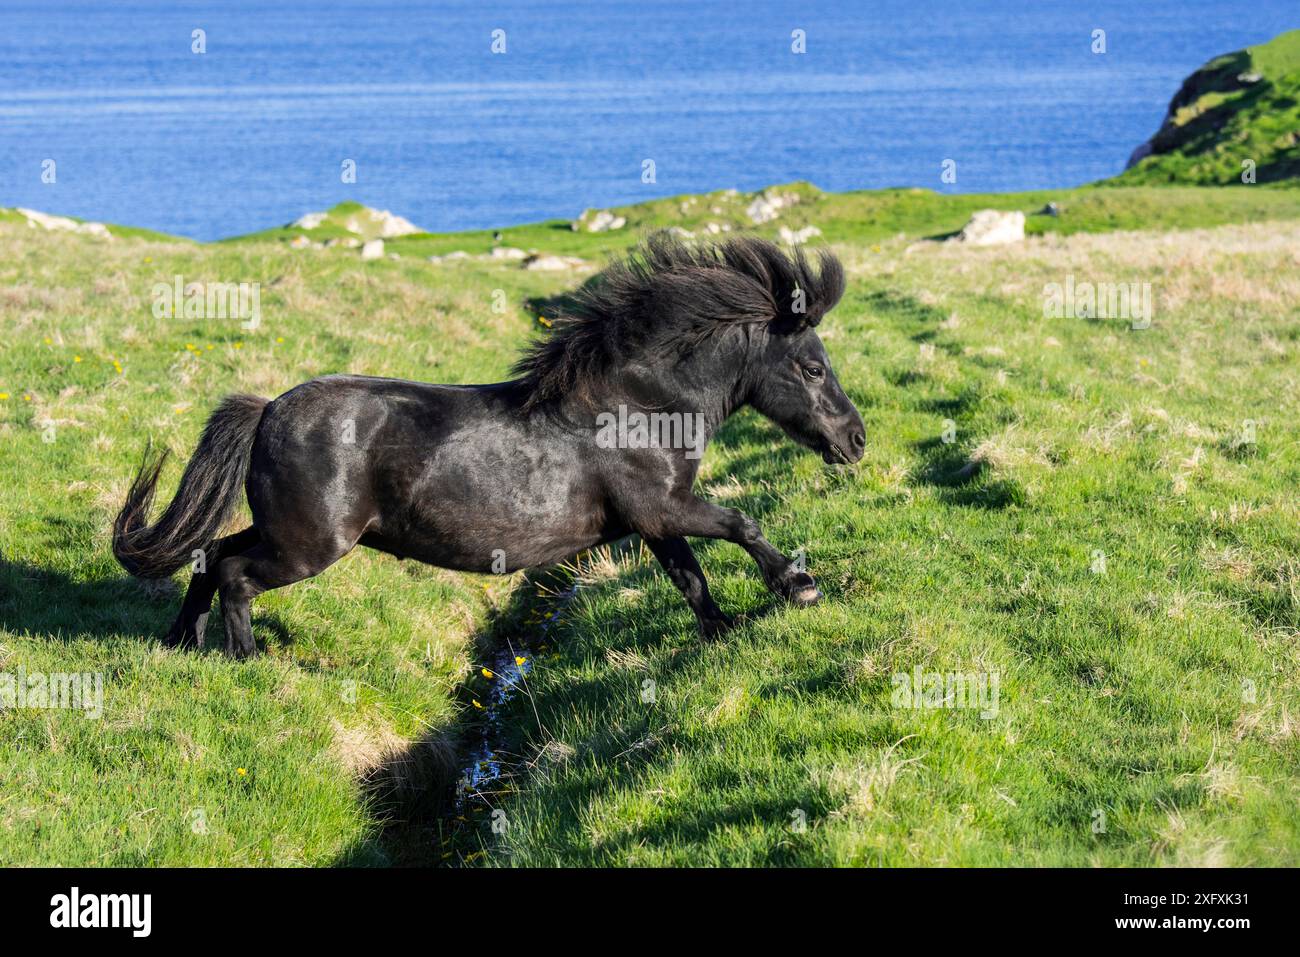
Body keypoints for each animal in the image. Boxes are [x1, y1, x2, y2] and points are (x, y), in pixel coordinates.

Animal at [111, 235, 863, 660]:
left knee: (212, 556)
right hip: (308, 544)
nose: (854, 440)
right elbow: (741, 524)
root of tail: (267, 408)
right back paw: (244, 660)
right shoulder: (664, 506)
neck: (637, 406)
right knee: (235, 574)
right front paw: (799, 586)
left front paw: (721, 632)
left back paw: (184, 643)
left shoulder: (654, 520)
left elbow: (691, 577)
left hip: (284, 530)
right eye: (812, 367)